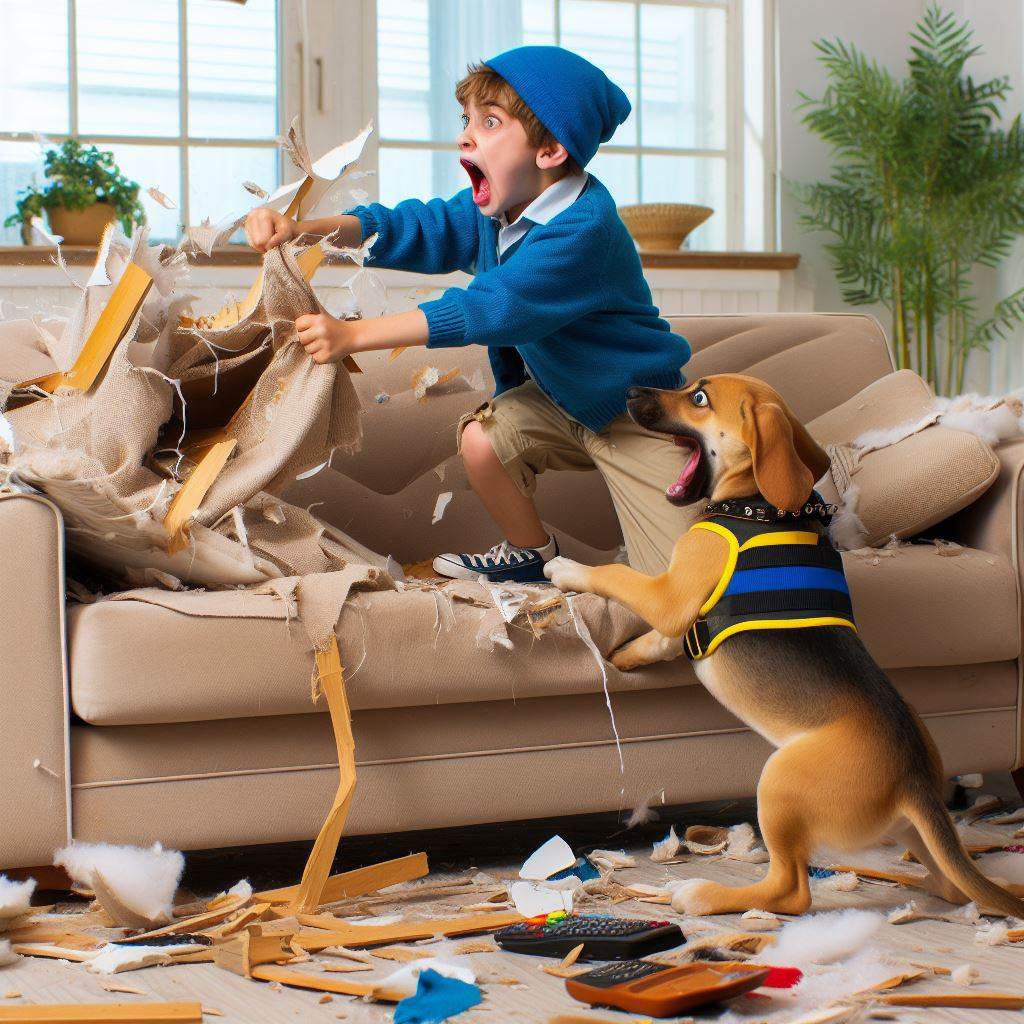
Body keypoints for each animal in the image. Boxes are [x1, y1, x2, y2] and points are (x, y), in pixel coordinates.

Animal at [544, 372, 1024, 917]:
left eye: (699, 398)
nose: (629, 393)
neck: (760, 507)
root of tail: (915, 780)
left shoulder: (671, 594)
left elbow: (616, 575)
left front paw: (568, 570)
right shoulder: (679, 614)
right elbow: (658, 641)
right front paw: (624, 656)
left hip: (778, 785)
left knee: (790, 890)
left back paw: (702, 894)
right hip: (908, 830)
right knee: (950, 883)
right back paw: (913, 881)